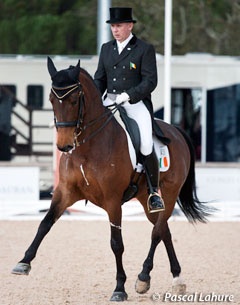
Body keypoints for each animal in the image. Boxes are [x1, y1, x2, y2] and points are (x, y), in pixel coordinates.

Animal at [11, 58, 210, 300]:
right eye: (51, 99)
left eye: (74, 100)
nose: (64, 146)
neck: (87, 146)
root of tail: (176, 131)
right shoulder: (65, 192)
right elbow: (45, 223)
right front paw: (23, 262)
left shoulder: (113, 200)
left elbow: (116, 243)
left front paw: (119, 288)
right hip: (145, 197)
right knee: (163, 230)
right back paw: (169, 278)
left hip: (169, 193)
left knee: (157, 231)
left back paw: (147, 277)